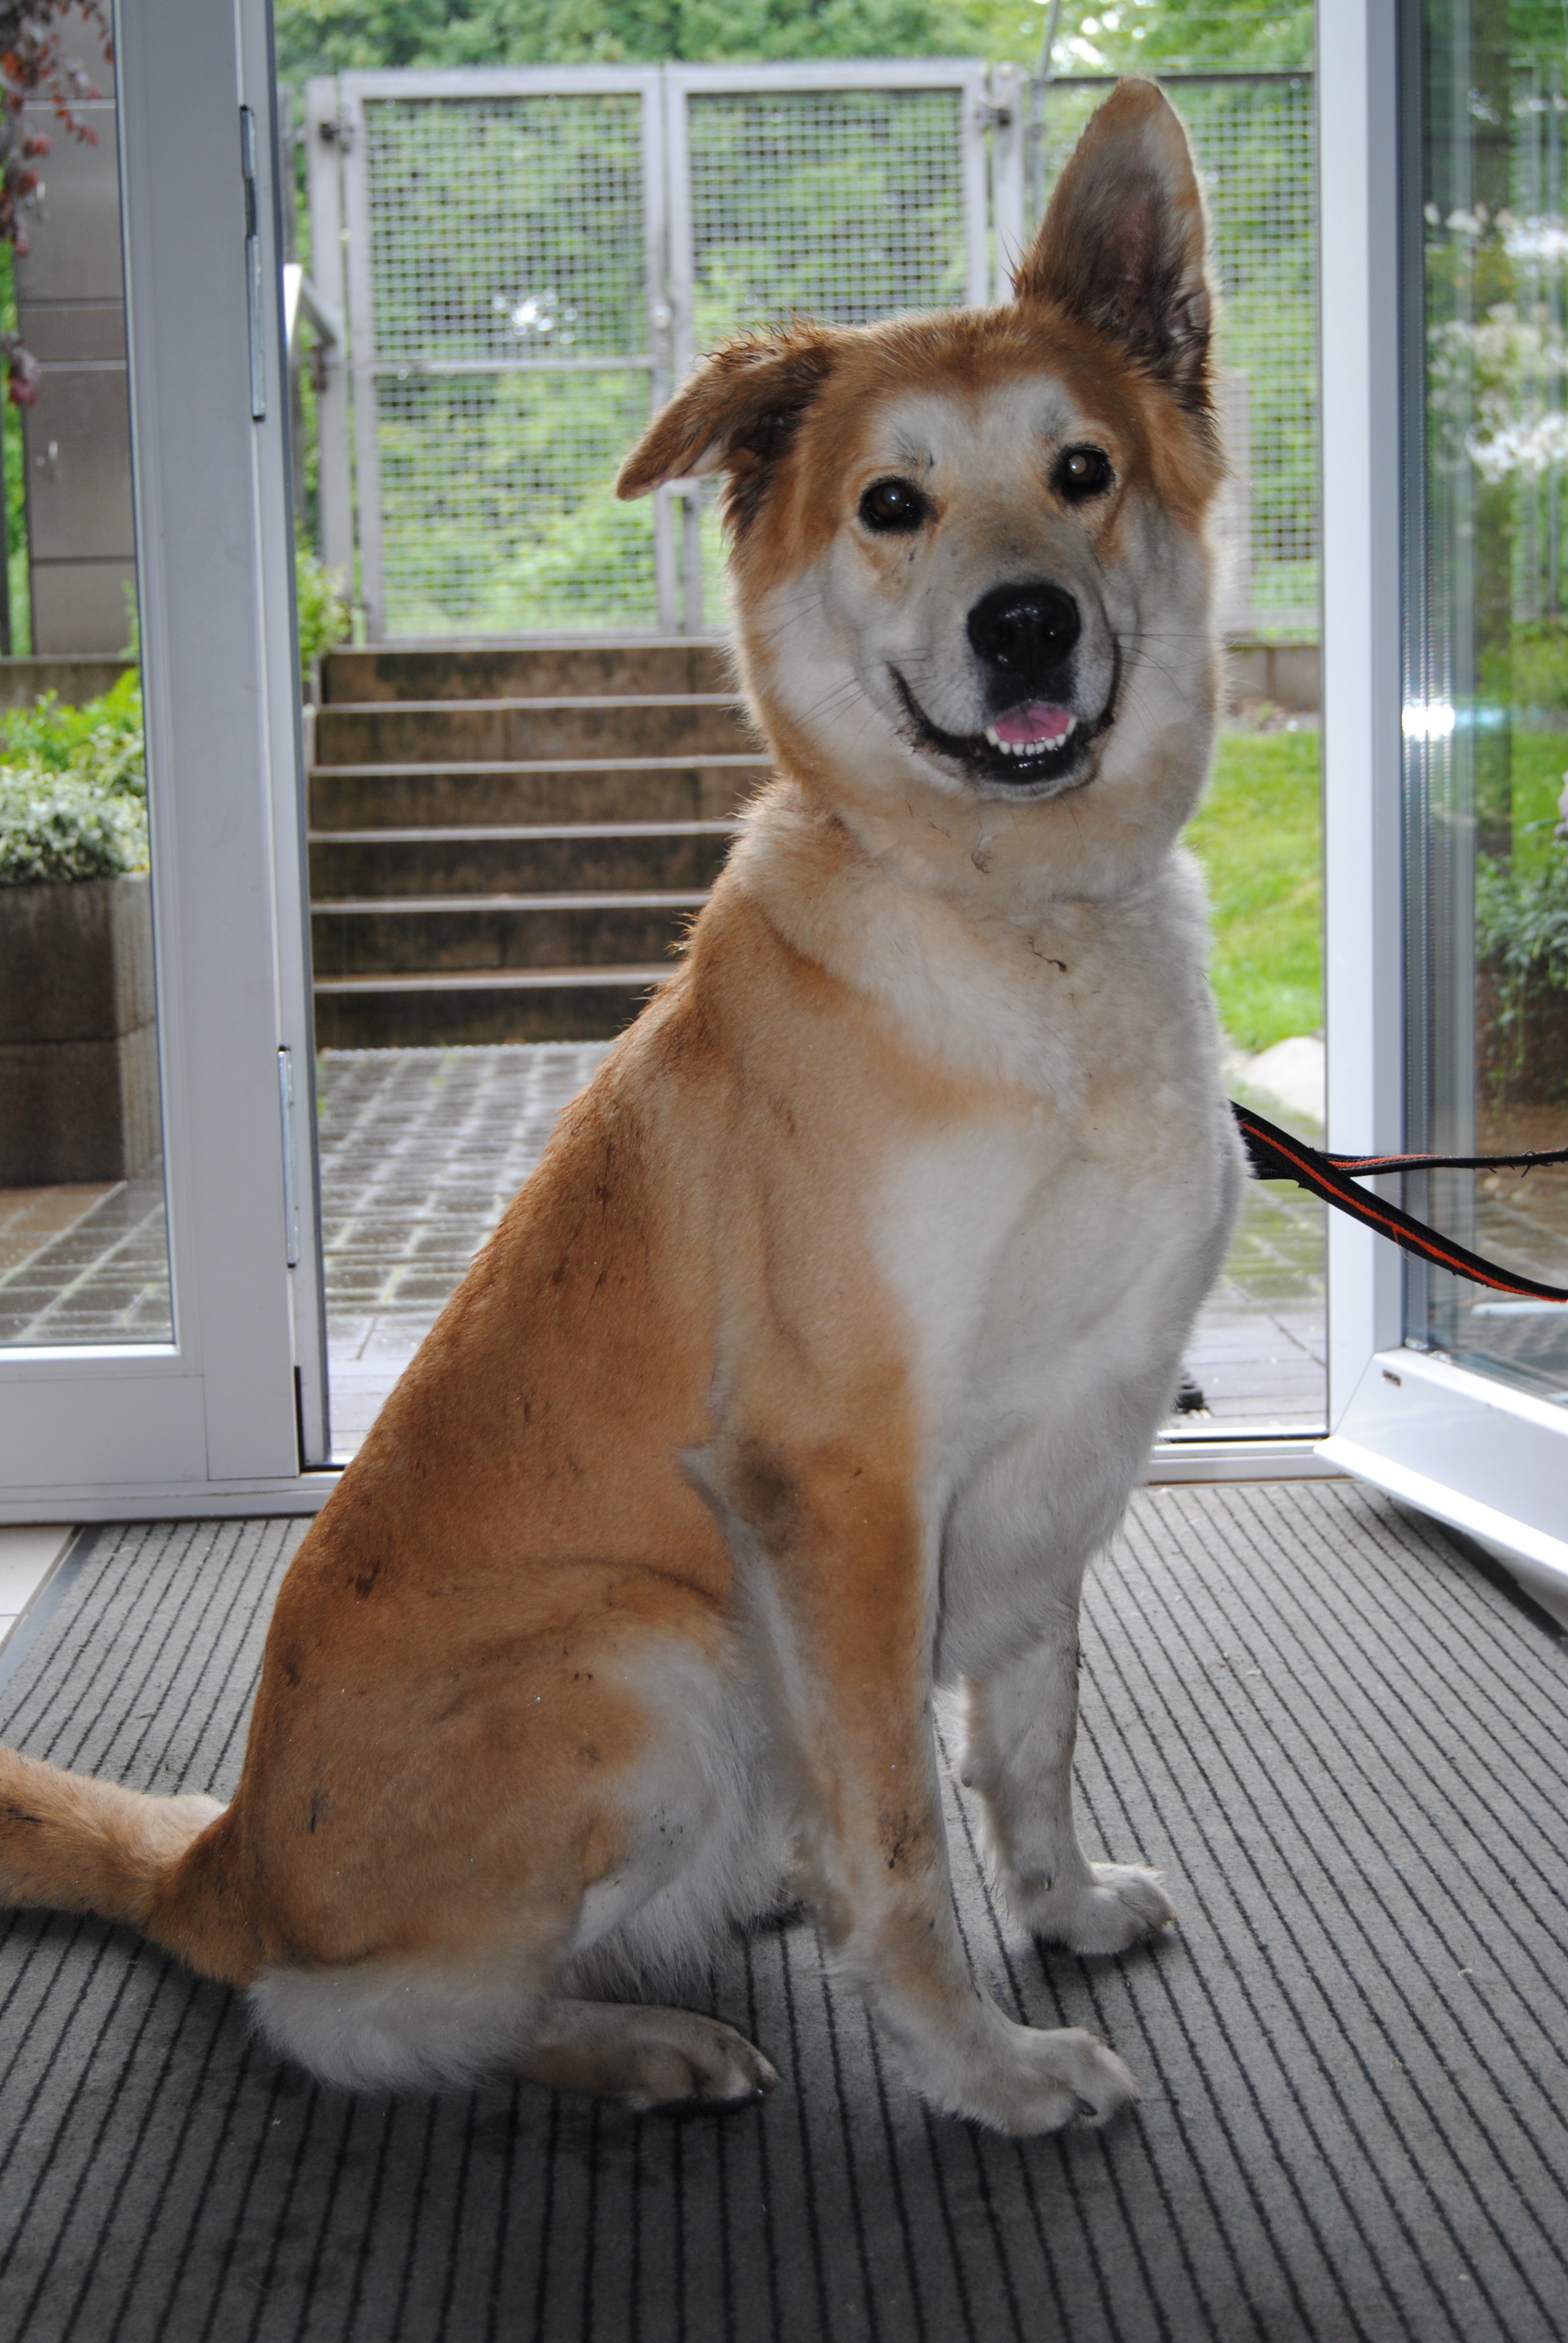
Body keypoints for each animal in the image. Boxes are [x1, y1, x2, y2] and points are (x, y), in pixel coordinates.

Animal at [6, 82, 1237, 2146]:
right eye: (891, 504)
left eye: (1083, 470)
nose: (1025, 630)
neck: (1031, 926)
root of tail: (225, 1855)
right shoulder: (843, 1486)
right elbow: (903, 1830)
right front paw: (978, 2065)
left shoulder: (1065, 1461)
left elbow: (1031, 1733)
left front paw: (1061, 1909)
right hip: (661, 1646)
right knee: (353, 2015)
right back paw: (632, 2039)